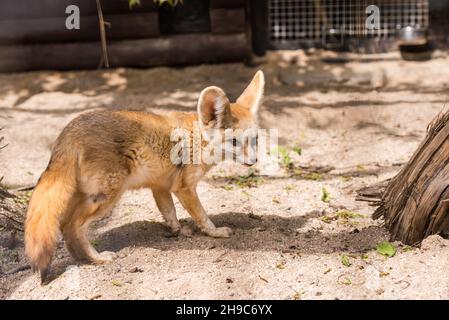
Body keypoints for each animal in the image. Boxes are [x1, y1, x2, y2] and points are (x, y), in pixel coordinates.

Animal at [26, 69, 264, 280]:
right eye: (234, 142)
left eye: (255, 139)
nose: (254, 161)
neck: (196, 140)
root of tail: (69, 132)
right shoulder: (185, 188)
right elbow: (202, 216)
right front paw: (215, 232)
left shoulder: (160, 187)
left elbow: (169, 212)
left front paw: (177, 230)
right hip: (106, 199)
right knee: (72, 226)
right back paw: (97, 258)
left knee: (63, 226)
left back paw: (82, 259)